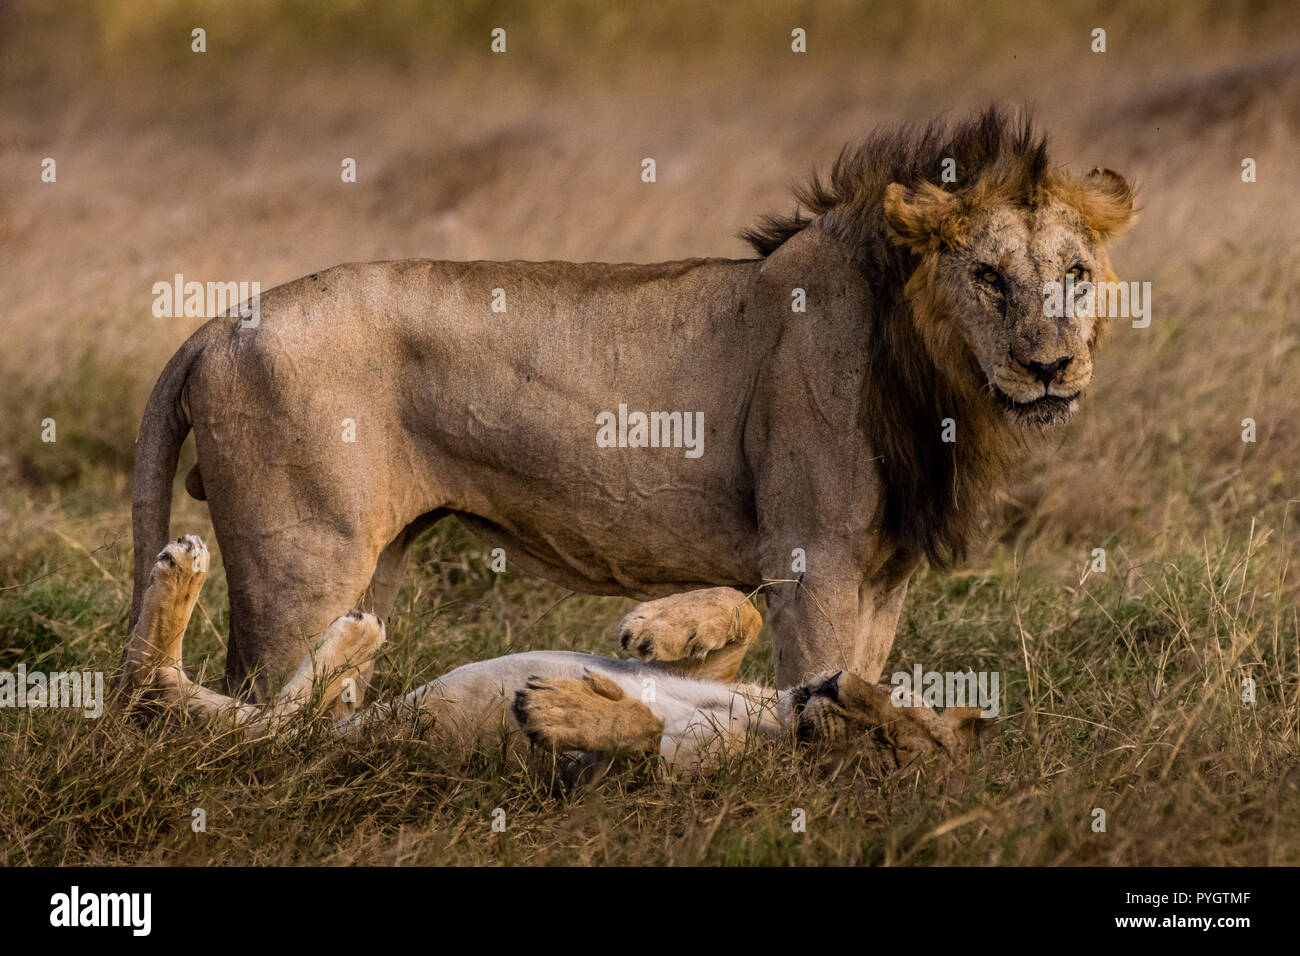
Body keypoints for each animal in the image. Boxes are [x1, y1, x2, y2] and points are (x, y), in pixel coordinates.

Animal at [126, 110, 1133, 712]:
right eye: (989, 276)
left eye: (1076, 274)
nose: (1051, 367)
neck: (932, 379)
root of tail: (217, 324)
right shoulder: (812, 560)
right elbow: (816, 682)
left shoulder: (884, 576)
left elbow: (862, 676)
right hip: (301, 566)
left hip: (370, 572)